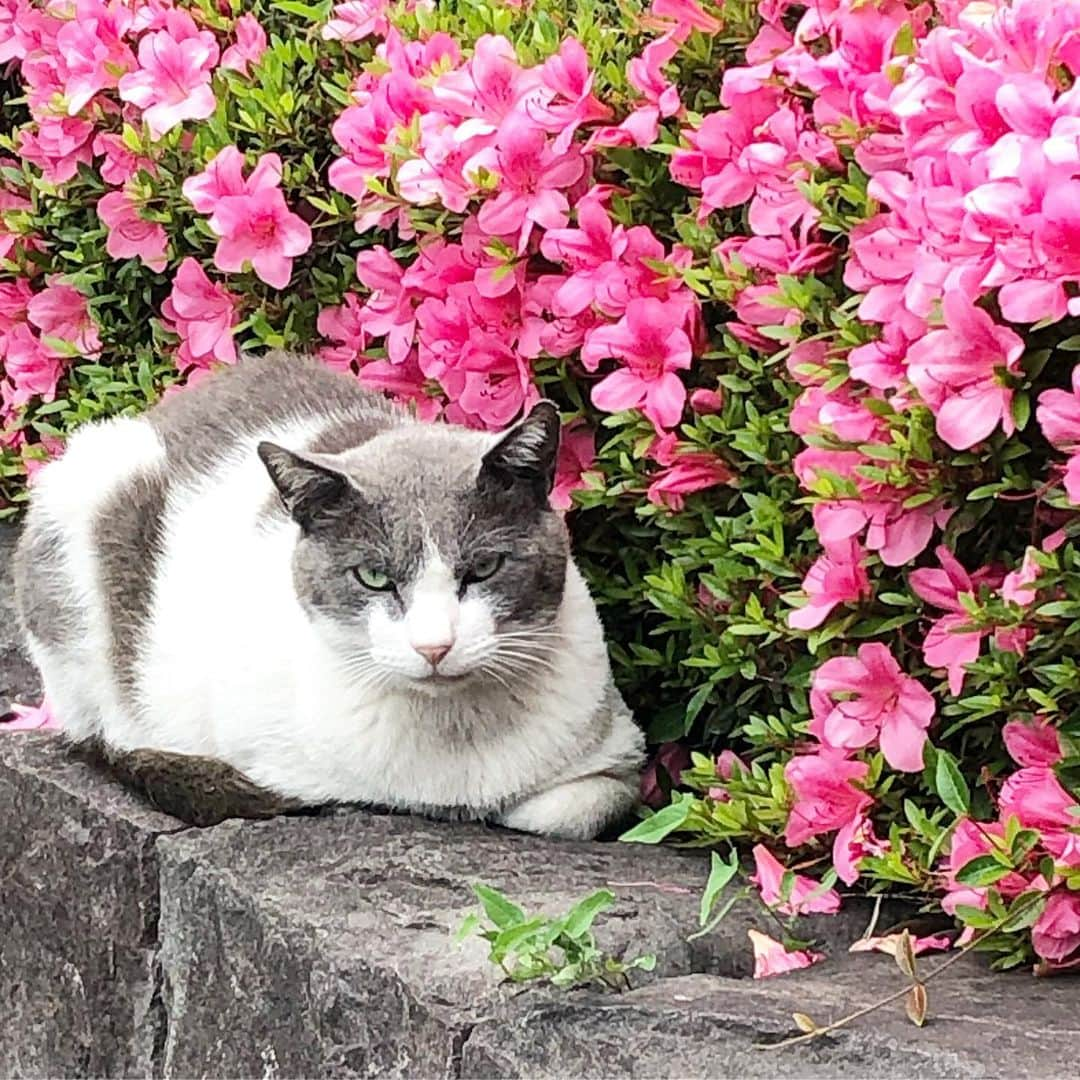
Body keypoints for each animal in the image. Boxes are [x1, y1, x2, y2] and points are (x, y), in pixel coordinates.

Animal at [14, 349, 639, 838]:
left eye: (484, 567)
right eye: (374, 578)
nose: (434, 646)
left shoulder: (614, 745)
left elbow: (571, 809)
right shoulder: (260, 754)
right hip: (92, 491)